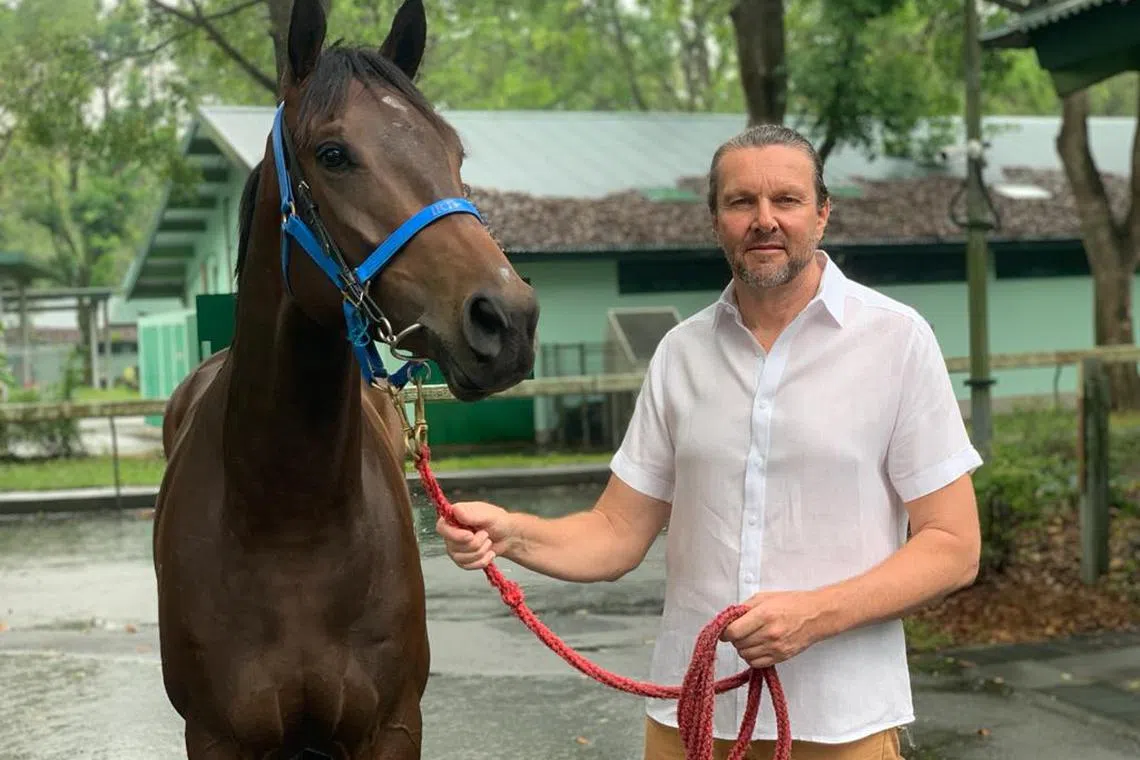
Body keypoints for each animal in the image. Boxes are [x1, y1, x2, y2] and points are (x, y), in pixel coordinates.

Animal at [152, 0, 539, 757]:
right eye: (334, 155)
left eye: (453, 153)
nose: (506, 319)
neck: (290, 522)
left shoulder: (391, 726)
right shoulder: (216, 737)